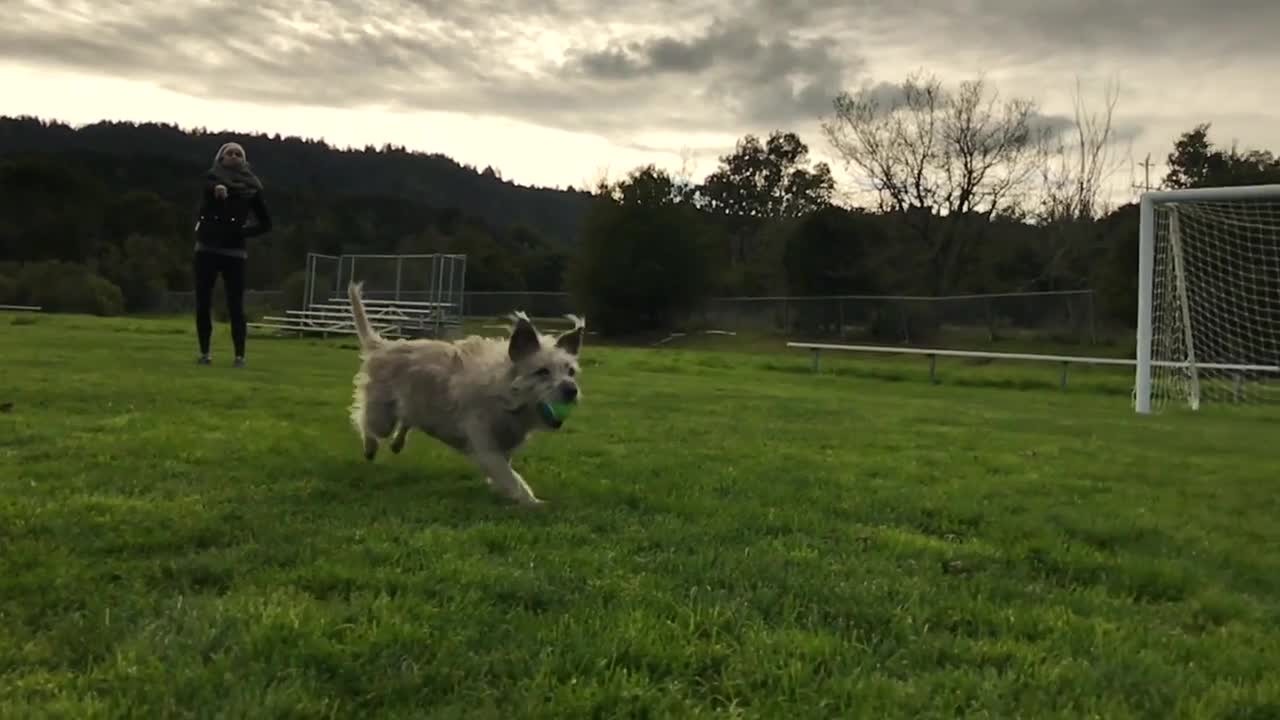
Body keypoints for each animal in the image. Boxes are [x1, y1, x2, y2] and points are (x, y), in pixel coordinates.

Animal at [350, 280, 588, 504]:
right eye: (542, 371)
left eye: (570, 371)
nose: (571, 390)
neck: (506, 397)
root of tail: (382, 346)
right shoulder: (485, 443)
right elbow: (510, 476)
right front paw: (532, 502)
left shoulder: (505, 445)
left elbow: (507, 473)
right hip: (382, 414)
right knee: (367, 422)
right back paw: (370, 446)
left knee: (406, 419)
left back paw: (398, 442)